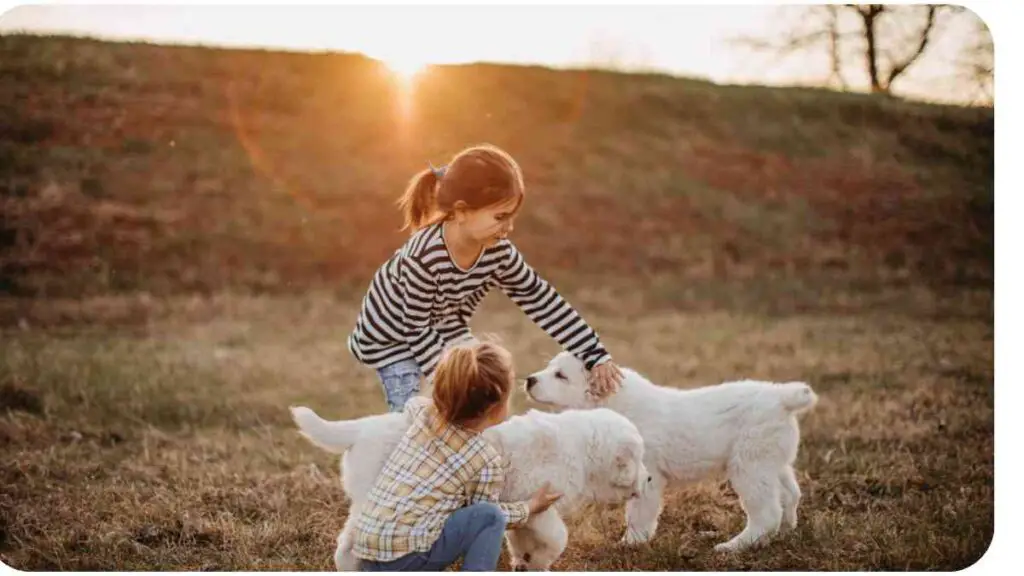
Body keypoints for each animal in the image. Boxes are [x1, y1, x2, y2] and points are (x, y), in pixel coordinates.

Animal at [292, 393, 651, 569]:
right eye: (638, 457)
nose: (648, 477)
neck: (583, 446)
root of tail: (363, 428)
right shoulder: (539, 503)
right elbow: (557, 537)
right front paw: (542, 560)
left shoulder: (522, 510)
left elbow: (521, 540)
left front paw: (526, 563)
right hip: (374, 500)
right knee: (351, 544)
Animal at [524, 350, 819, 553]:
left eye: (561, 376)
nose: (529, 380)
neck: (614, 402)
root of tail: (781, 397)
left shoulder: (647, 474)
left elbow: (639, 511)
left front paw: (631, 542)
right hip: (771, 460)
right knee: (790, 495)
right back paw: (783, 533)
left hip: (750, 465)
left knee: (766, 512)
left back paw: (734, 546)